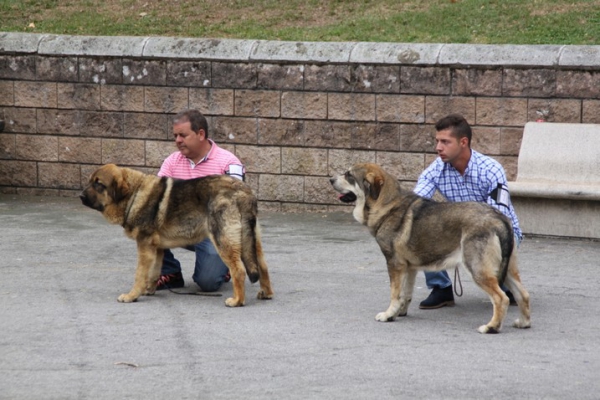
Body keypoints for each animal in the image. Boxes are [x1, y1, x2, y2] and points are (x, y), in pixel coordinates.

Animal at [79, 164, 274, 308]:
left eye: (98, 184)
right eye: (90, 182)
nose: (80, 196)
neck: (134, 194)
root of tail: (244, 192)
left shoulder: (144, 247)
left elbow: (139, 274)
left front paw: (132, 295)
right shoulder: (157, 249)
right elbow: (153, 273)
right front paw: (148, 290)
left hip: (224, 242)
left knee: (238, 270)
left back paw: (237, 301)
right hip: (252, 242)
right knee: (263, 266)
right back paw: (266, 293)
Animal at [330, 163, 532, 334]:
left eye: (348, 175)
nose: (330, 179)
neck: (386, 204)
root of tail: (500, 218)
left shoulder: (394, 264)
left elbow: (394, 294)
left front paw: (388, 315)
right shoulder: (409, 268)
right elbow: (405, 294)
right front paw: (399, 313)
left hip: (478, 269)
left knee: (501, 298)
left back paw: (491, 327)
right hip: (507, 270)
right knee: (523, 294)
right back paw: (523, 323)